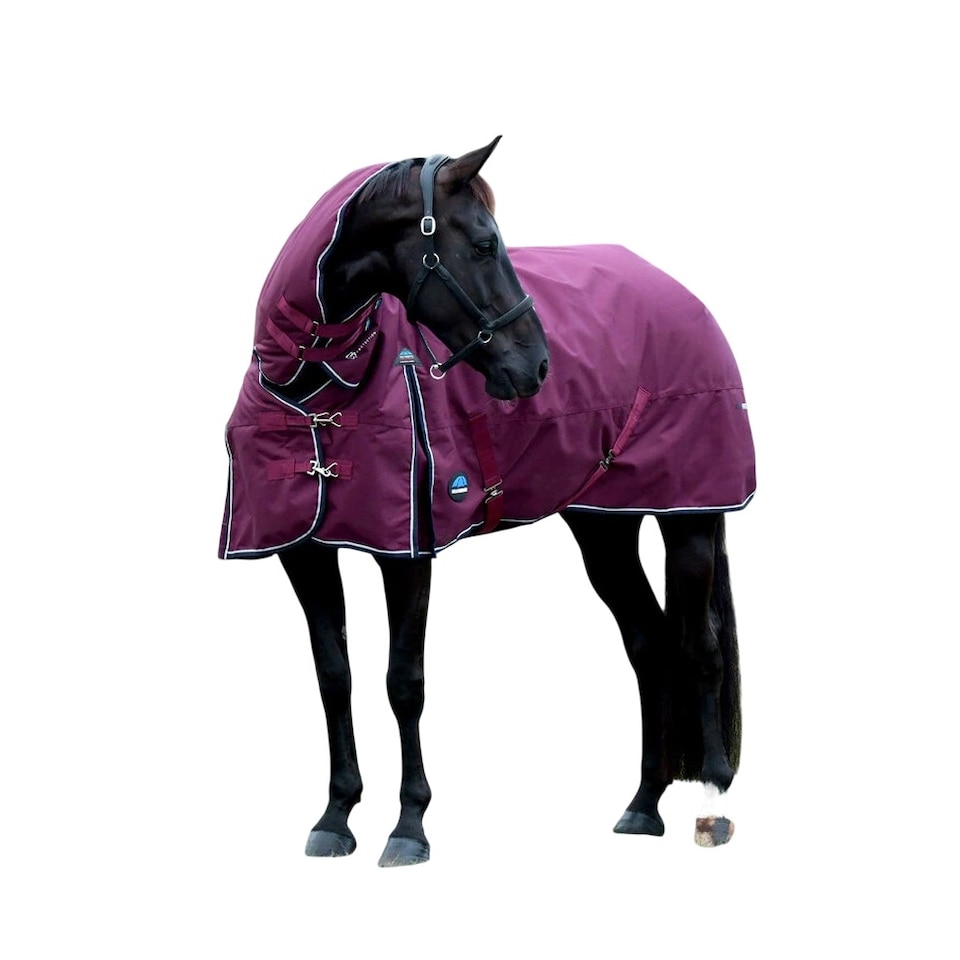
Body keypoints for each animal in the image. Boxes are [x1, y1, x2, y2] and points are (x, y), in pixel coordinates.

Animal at [219, 138, 755, 866]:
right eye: (481, 243)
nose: (538, 368)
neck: (317, 386)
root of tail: (684, 296)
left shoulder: (407, 554)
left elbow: (403, 682)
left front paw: (408, 826)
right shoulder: (302, 552)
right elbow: (335, 676)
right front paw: (335, 816)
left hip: (691, 518)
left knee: (699, 648)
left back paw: (714, 802)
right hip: (604, 528)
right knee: (648, 643)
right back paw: (643, 806)